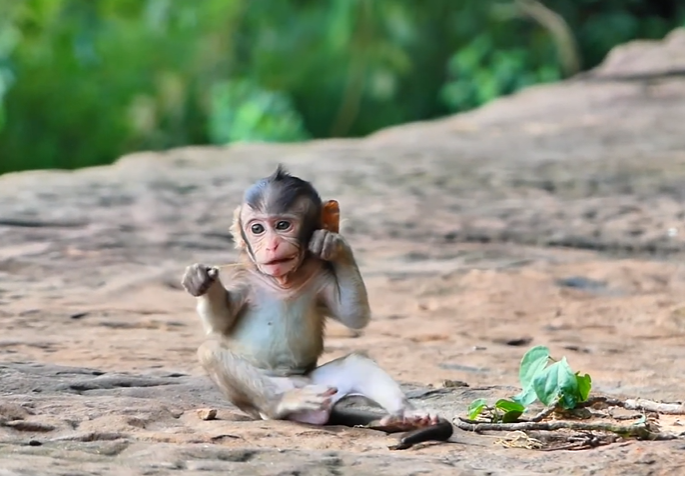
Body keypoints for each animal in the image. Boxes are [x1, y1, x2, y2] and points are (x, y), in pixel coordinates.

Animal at [181, 165, 452, 449]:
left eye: (282, 225)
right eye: (257, 229)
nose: (271, 245)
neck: (282, 280)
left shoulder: (322, 277)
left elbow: (354, 315)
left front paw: (333, 244)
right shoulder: (241, 279)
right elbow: (219, 324)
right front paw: (200, 280)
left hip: (321, 384)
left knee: (357, 362)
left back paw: (405, 415)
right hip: (264, 403)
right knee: (211, 352)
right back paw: (283, 403)